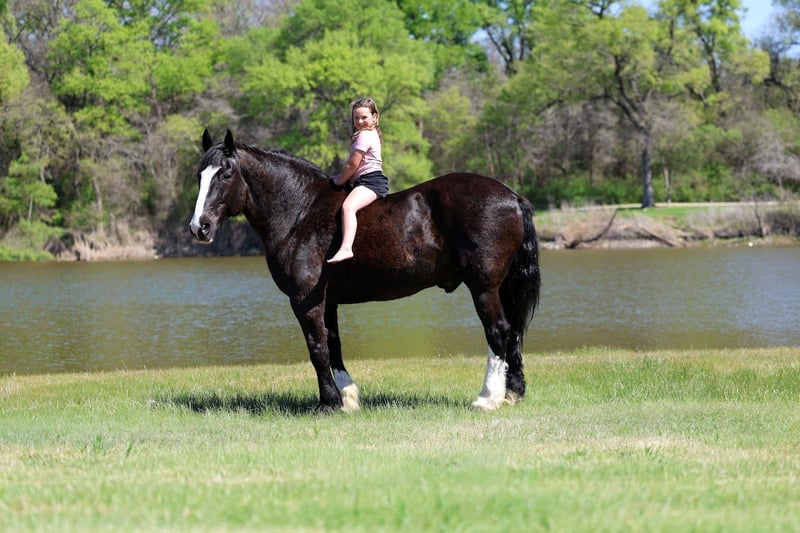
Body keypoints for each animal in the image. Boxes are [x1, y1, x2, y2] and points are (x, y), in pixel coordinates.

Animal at [190, 129, 541, 412]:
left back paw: (487, 398)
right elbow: (333, 346)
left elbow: (317, 349)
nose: (199, 227)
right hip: (502, 287)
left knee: (498, 331)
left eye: (225, 173)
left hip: (484, 287)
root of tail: (512, 195)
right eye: (199, 176)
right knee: (513, 334)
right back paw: (512, 394)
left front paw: (328, 403)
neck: (300, 212)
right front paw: (348, 399)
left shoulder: (304, 301)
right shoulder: (327, 301)